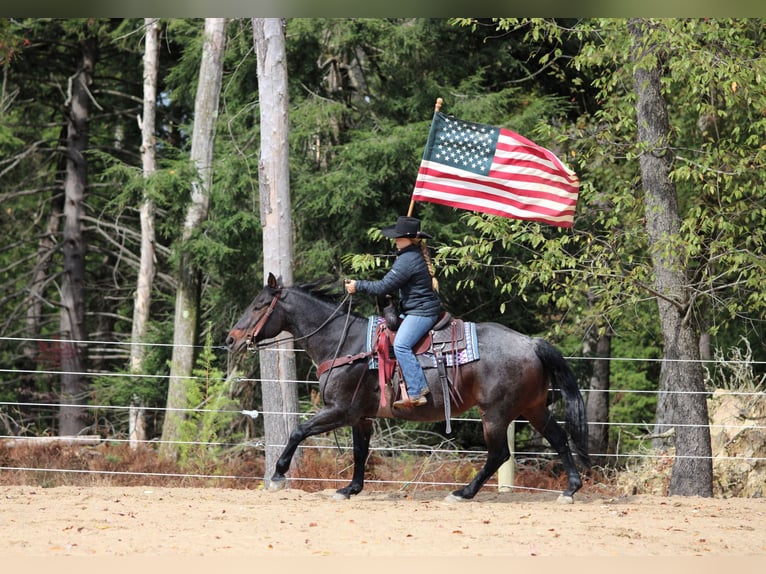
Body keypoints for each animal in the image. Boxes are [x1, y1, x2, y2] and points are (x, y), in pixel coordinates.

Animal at [226, 272, 590, 503]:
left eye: (259, 305)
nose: (231, 339)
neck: (345, 343)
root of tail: (531, 343)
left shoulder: (340, 410)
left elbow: (298, 431)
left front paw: (277, 475)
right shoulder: (361, 417)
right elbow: (359, 452)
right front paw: (350, 489)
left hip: (496, 414)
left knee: (499, 453)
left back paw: (463, 493)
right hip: (533, 408)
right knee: (559, 439)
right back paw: (570, 490)